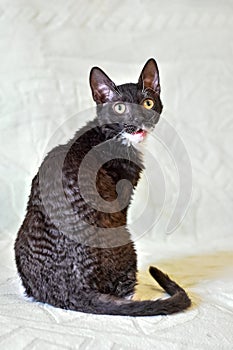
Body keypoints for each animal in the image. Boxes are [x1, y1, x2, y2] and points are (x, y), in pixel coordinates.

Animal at [14, 58, 191, 316]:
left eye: (147, 103)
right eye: (120, 108)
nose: (137, 120)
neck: (111, 136)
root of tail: (75, 291)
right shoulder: (123, 197)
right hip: (124, 238)